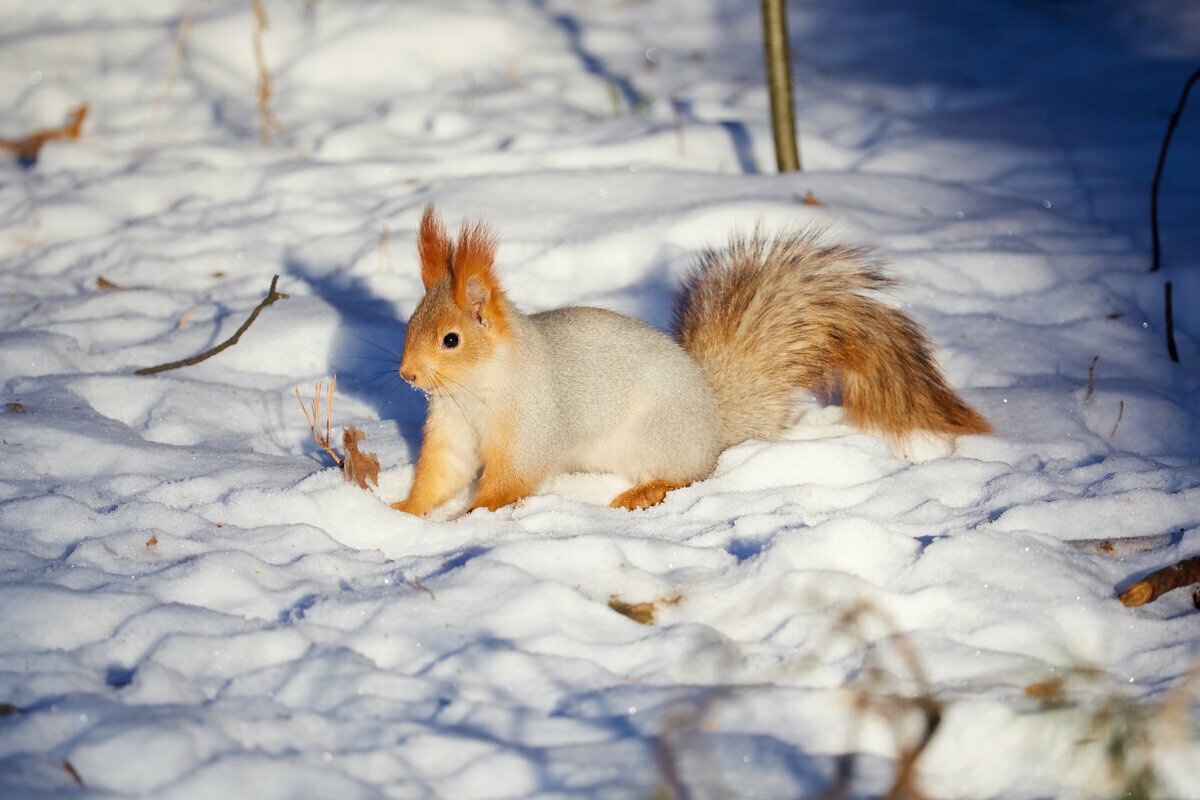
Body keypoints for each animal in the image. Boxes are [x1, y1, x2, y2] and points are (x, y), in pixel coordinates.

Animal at [388, 205, 988, 520]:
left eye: (450, 340)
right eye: (410, 322)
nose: (406, 376)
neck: (476, 387)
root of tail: (713, 422)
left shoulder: (533, 424)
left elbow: (510, 480)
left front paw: (469, 519)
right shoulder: (452, 427)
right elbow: (442, 472)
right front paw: (402, 513)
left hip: (657, 437)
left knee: (691, 477)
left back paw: (643, 491)